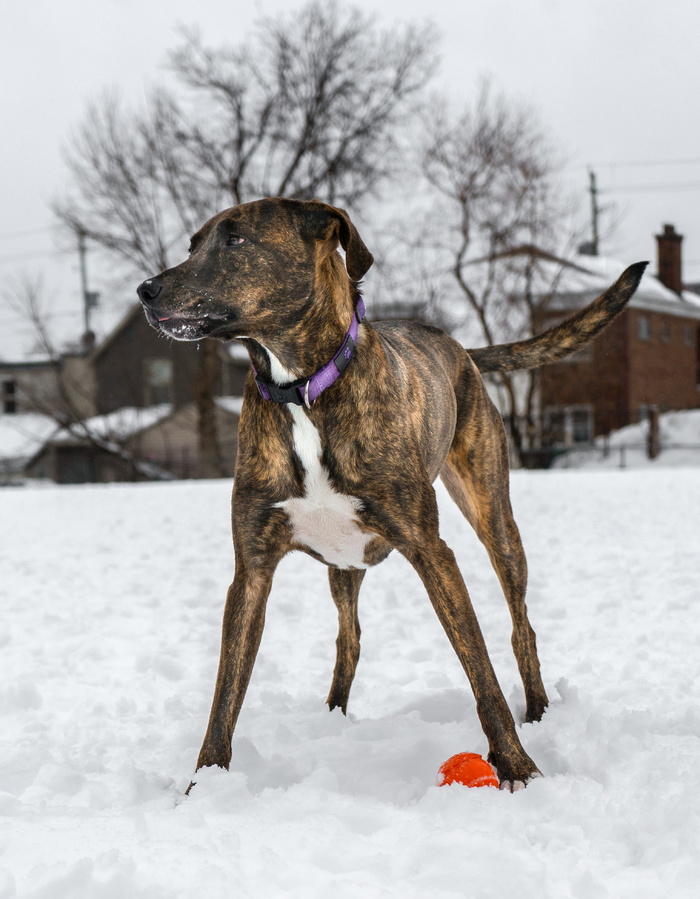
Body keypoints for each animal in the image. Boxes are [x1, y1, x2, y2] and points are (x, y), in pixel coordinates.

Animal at [137, 197, 644, 788]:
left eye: (235, 240)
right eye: (193, 244)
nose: (146, 290)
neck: (301, 389)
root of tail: (461, 348)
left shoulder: (430, 549)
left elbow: (481, 670)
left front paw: (516, 763)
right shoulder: (252, 568)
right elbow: (225, 693)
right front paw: (205, 784)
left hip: (494, 517)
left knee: (521, 626)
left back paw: (538, 710)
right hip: (344, 563)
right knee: (349, 640)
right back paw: (332, 717)